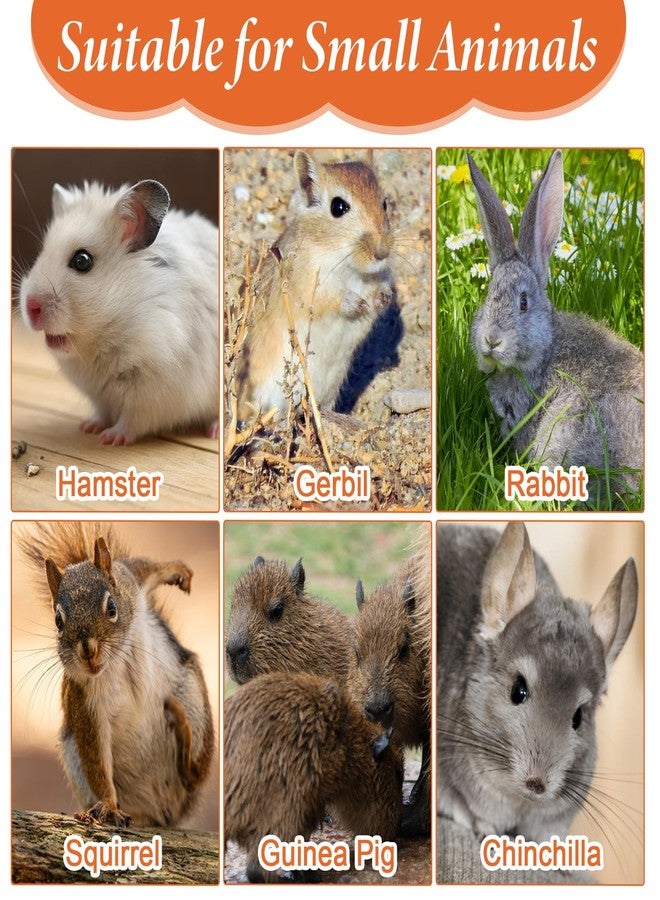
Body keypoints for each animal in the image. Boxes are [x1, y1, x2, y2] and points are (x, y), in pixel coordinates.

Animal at [19, 179, 218, 445]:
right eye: (43, 252)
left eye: (82, 261)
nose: (30, 307)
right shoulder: (98, 394)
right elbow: (103, 412)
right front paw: (88, 427)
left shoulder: (157, 393)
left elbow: (133, 420)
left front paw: (111, 438)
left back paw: (215, 431)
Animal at [234, 150, 394, 423]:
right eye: (338, 207)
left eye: (384, 203)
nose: (382, 253)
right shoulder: (310, 288)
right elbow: (333, 299)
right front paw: (358, 303)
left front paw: (383, 298)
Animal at [436, 522, 638, 844]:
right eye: (517, 691)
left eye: (579, 717)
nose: (537, 783)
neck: (519, 802)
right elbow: (468, 809)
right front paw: (485, 830)